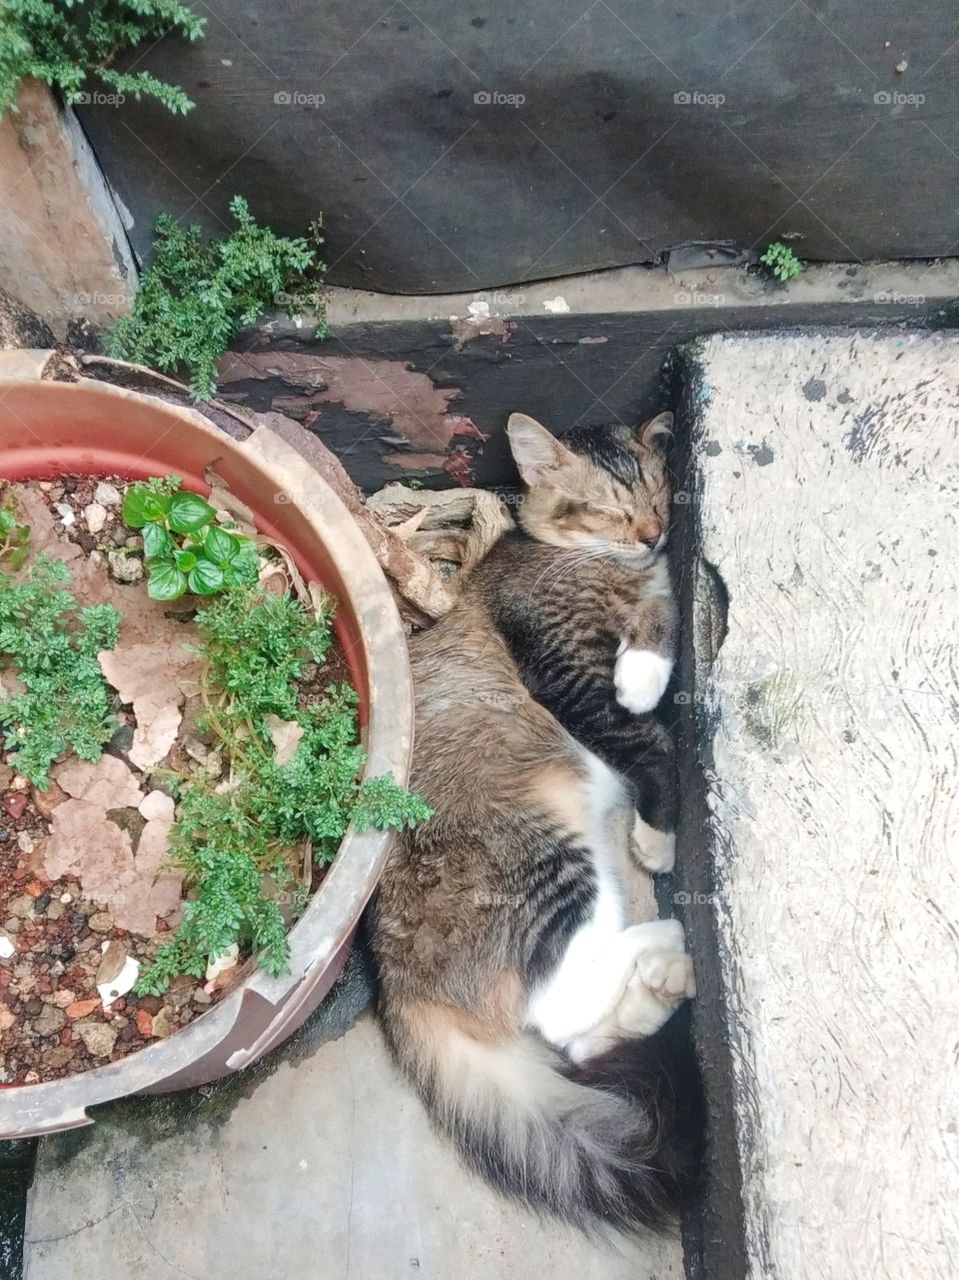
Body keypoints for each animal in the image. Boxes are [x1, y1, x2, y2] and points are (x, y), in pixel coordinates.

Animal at [371, 409, 701, 1228]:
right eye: (610, 507)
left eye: (657, 496)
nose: (652, 532)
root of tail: (396, 985)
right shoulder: (563, 667)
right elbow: (648, 737)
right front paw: (660, 830)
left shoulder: (655, 593)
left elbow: (667, 611)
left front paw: (646, 661)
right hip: (544, 858)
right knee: (559, 1005)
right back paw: (664, 940)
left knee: (573, 1040)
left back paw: (659, 979)